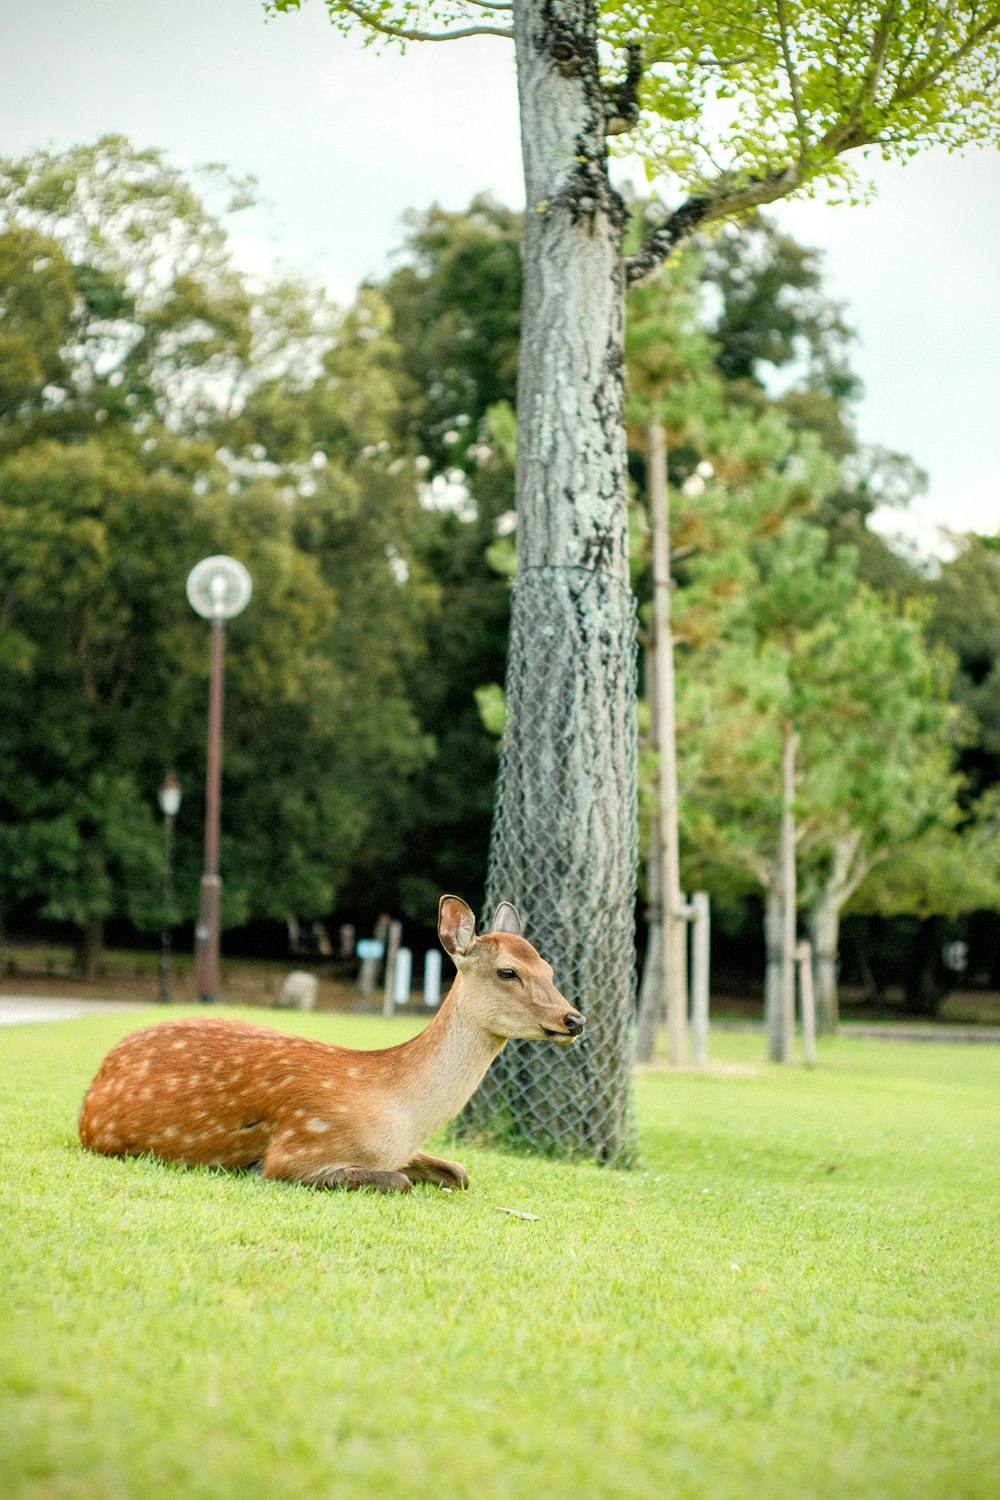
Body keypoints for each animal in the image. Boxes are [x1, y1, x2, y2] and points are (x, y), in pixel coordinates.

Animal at [80, 888, 587, 1194]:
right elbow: (398, 1182)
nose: (575, 1019)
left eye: (549, 969)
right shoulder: (297, 1149)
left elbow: (459, 1172)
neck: (399, 1117)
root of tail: (97, 1077)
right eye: (508, 971)